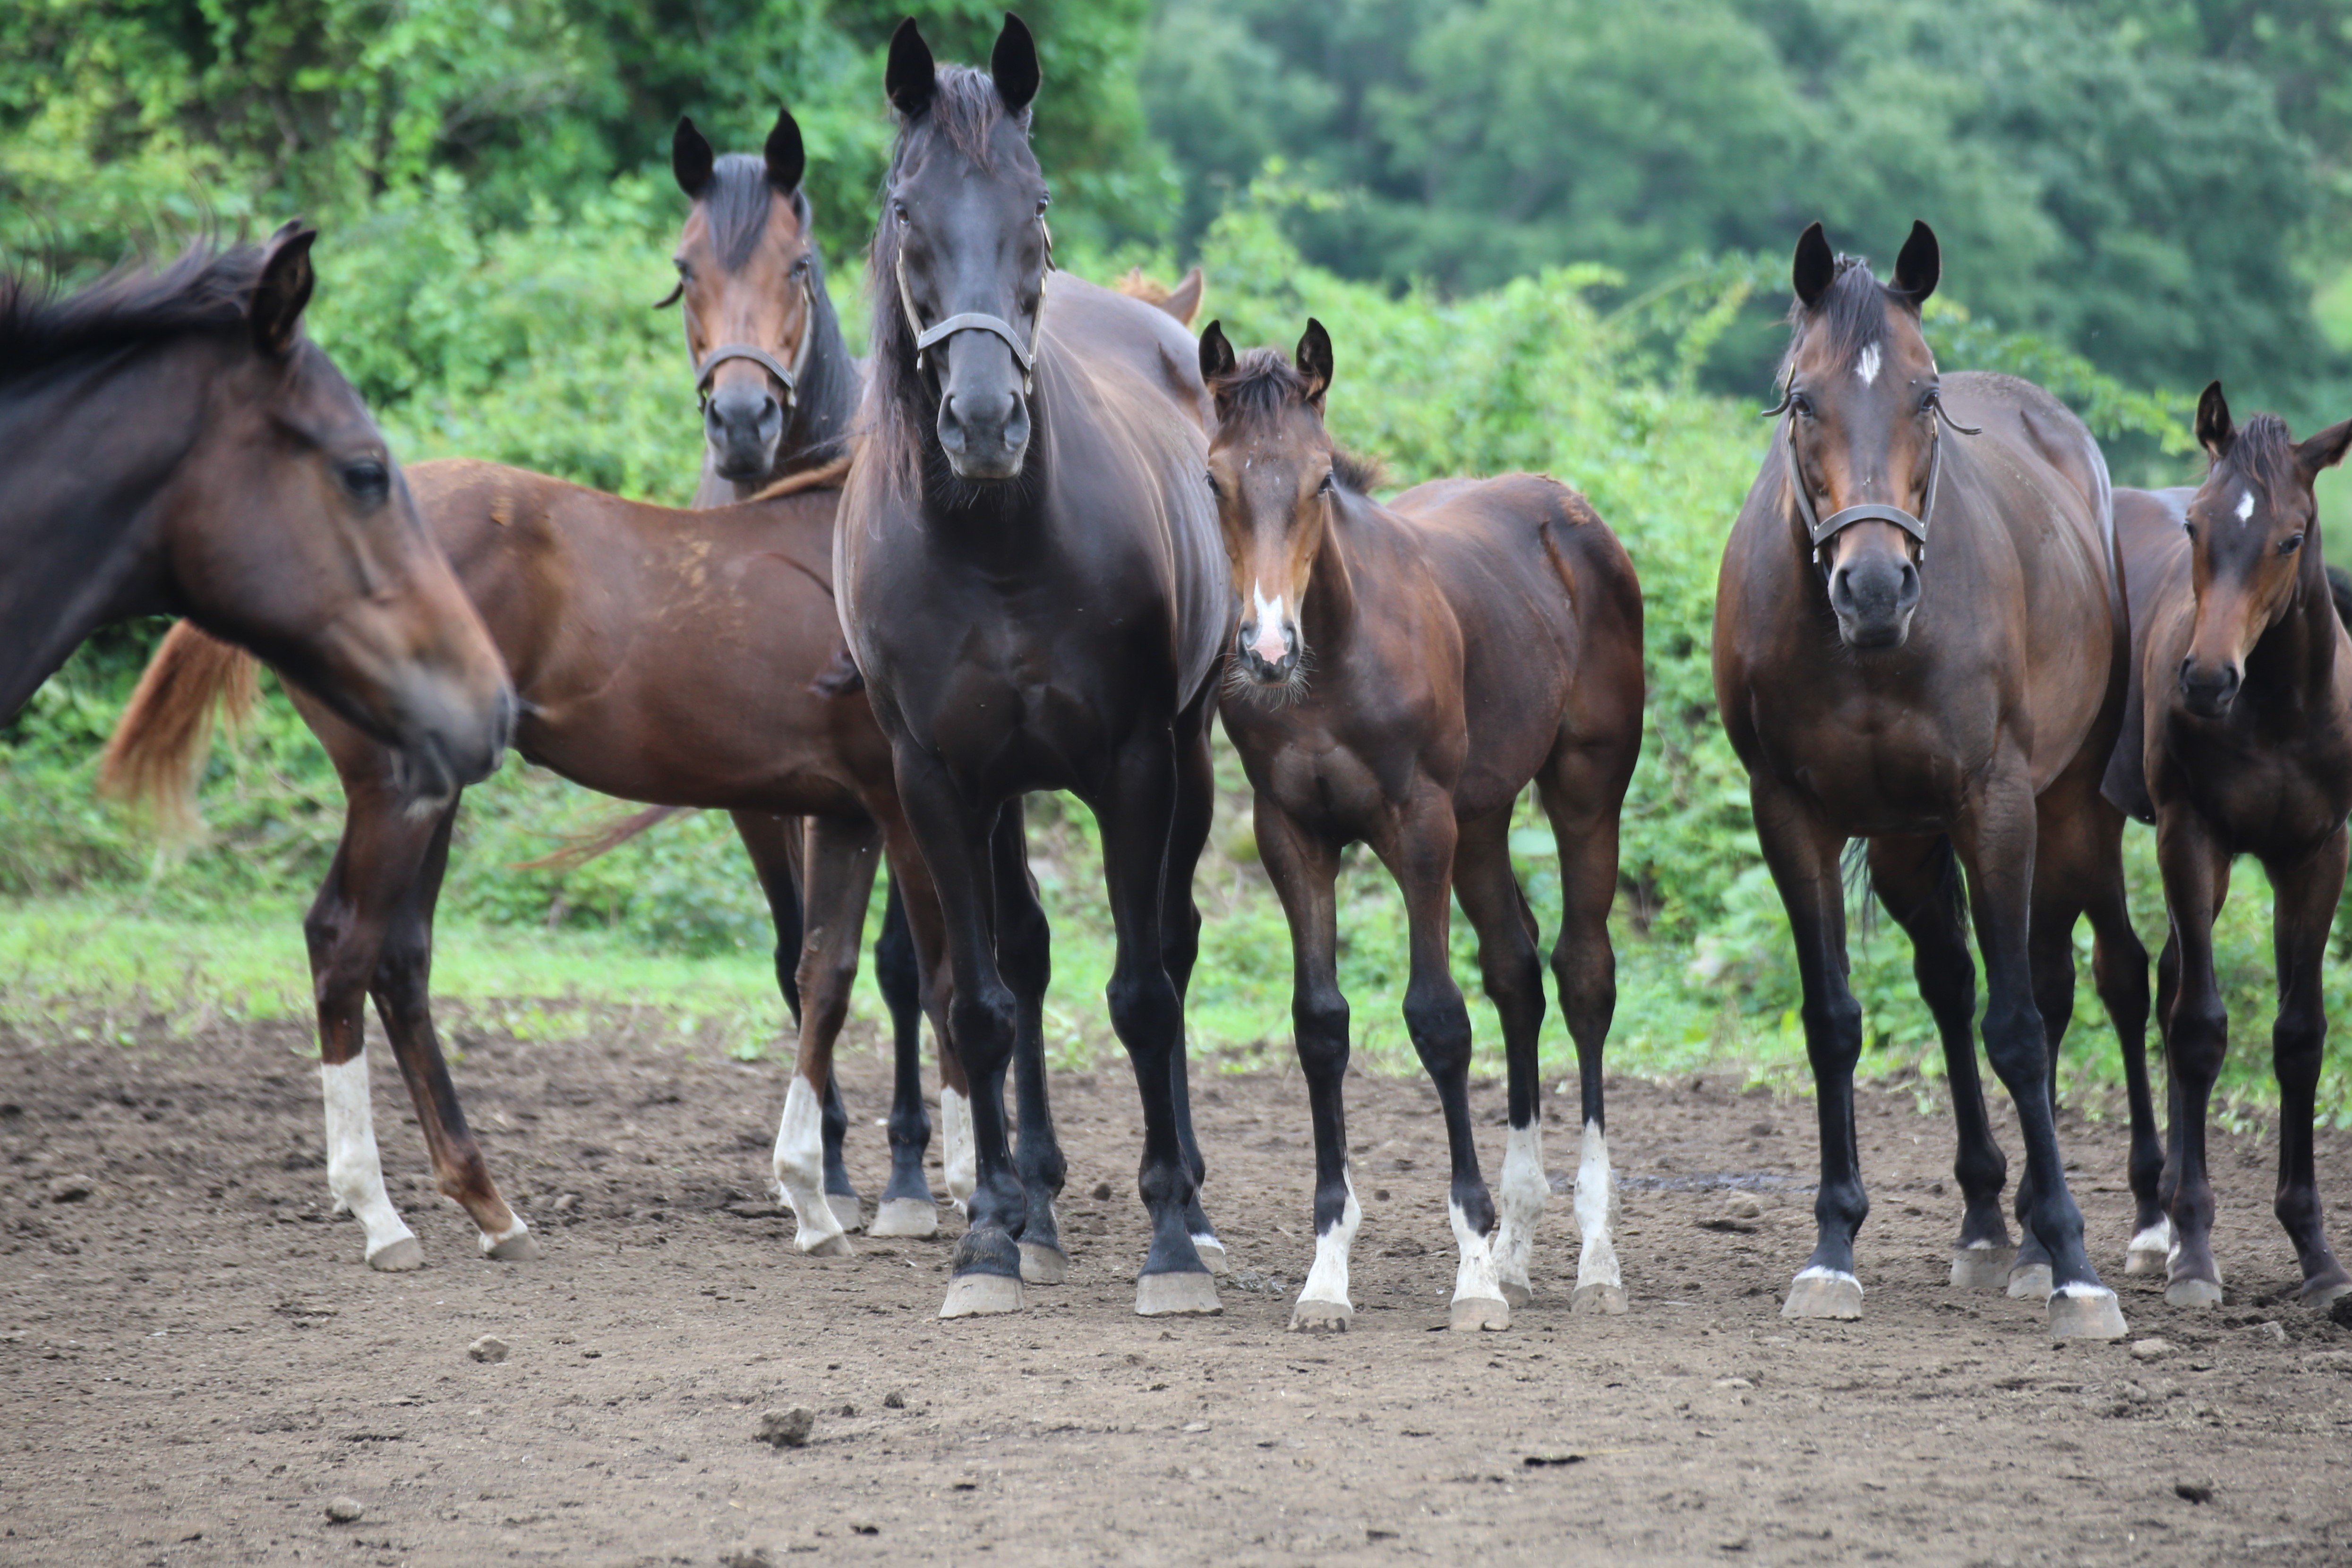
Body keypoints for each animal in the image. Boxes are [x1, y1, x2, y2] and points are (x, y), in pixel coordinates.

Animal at [847, 18, 1241, 1316]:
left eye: (1037, 202)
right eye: (906, 208)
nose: (982, 422)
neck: (993, 544)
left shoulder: (1131, 765)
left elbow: (1141, 991)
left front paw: (1169, 1241)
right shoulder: (934, 779)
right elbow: (978, 1004)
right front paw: (984, 1235)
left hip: (1190, 755)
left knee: (1170, 944)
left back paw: (1189, 1208)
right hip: (1002, 791)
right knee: (1021, 954)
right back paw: (1034, 1205)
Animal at [1195, 324, 1637, 1335]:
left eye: (1320, 478)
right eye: (1214, 478)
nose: (1265, 651)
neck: (1332, 662)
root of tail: (1573, 514)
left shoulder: (1418, 824)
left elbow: (1437, 1020)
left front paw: (1470, 1270)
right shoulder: (1291, 833)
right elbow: (1319, 1025)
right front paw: (1326, 1275)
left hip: (1582, 790)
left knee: (1581, 974)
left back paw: (1591, 1257)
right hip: (1481, 818)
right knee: (1515, 969)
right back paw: (1519, 1245)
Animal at [1721, 223, 2145, 1354]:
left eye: (1922, 394)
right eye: (1800, 399)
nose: (1873, 587)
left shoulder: (1993, 808)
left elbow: (2021, 1029)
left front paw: (2075, 1266)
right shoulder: (1791, 817)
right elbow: (1833, 1020)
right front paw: (1831, 1245)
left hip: (2067, 816)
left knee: (2068, 984)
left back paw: (2055, 1237)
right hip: (1910, 843)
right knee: (1951, 984)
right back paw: (1986, 1218)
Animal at [2107, 385, 2352, 1307]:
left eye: (2290, 536)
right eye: (2195, 527)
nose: (2205, 679)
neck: (2276, 708)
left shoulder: (2315, 856)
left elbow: (2298, 1035)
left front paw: (2316, 1254)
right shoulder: (2191, 838)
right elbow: (2199, 1029)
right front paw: (2195, 1250)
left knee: (2167, 975)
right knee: (2121, 983)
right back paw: (2155, 1223)